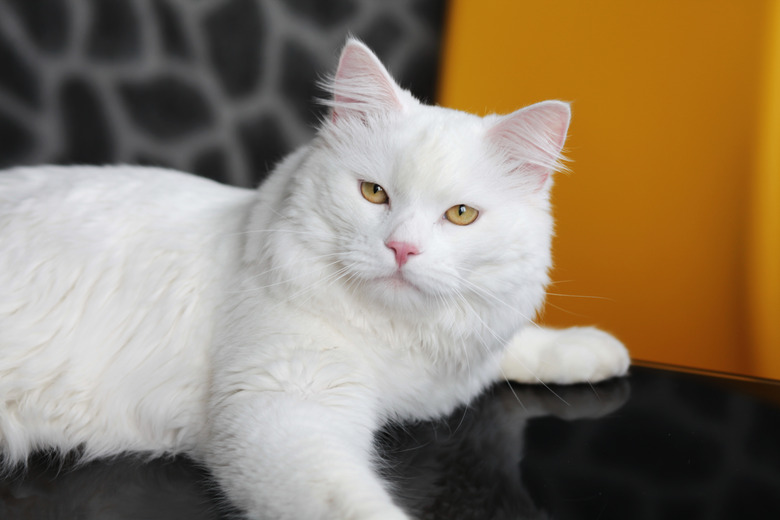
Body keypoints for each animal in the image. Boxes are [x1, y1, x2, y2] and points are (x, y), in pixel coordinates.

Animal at [0, 38, 628, 516]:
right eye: (373, 193)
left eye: (460, 215)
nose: (401, 248)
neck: (394, 340)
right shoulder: (282, 408)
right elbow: (344, 499)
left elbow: (513, 347)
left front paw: (591, 350)